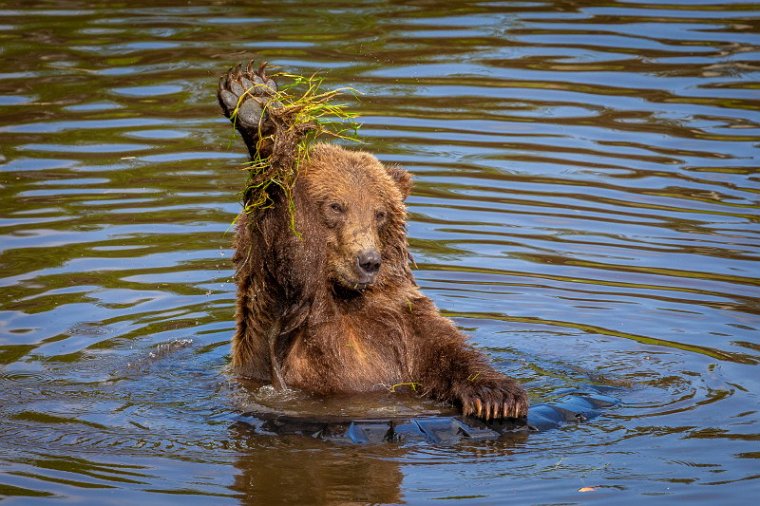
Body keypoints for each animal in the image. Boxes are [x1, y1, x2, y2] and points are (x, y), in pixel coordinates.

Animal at [218, 61, 528, 422]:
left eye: (379, 212)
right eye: (335, 206)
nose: (368, 261)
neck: (343, 296)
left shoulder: (402, 320)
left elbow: (449, 350)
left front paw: (498, 397)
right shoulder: (283, 316)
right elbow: (284, 244)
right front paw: (255, 105)